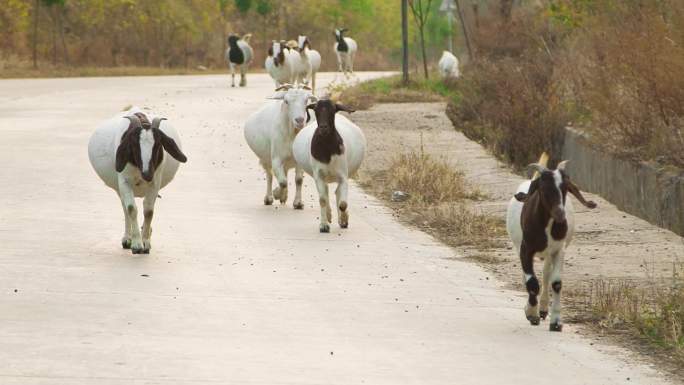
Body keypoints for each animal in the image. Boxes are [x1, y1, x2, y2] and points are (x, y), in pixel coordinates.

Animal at [89, 106, 190, 254]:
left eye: (158, 145)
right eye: (134, 145)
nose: (147, 174)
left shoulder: (154, 183)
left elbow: (149, 211)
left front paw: (145, 242)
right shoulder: (124, 182)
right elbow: (131, 208)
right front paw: (136, 244)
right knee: (125, 208)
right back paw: (127, 239)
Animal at [292, 99, 366, 231]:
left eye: (333, 110)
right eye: (316, 110)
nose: (323, 127)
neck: (327, 151)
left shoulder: (343, 175)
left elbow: (343, 204)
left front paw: (344, 219)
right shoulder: (319, 175)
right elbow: (322, 199)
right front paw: (324, 225)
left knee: (337, 193)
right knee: (326, 194)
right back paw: (329, 215)